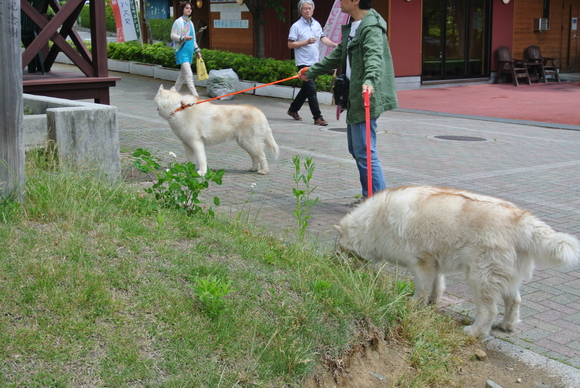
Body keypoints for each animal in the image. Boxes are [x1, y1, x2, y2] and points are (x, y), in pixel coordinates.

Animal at [336, 186, 580, 338]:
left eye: (342, 251)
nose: (337, 265)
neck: (374, 222)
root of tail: (523, 219)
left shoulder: (421, 262)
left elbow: (422, 288)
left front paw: (414, 305)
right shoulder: (434, 262)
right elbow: (436, 285)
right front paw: (432, 302)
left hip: (479, 277)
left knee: (489, 310)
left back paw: (475, 332)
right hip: (504, 276)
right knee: (514, 301)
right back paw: (507, 325)